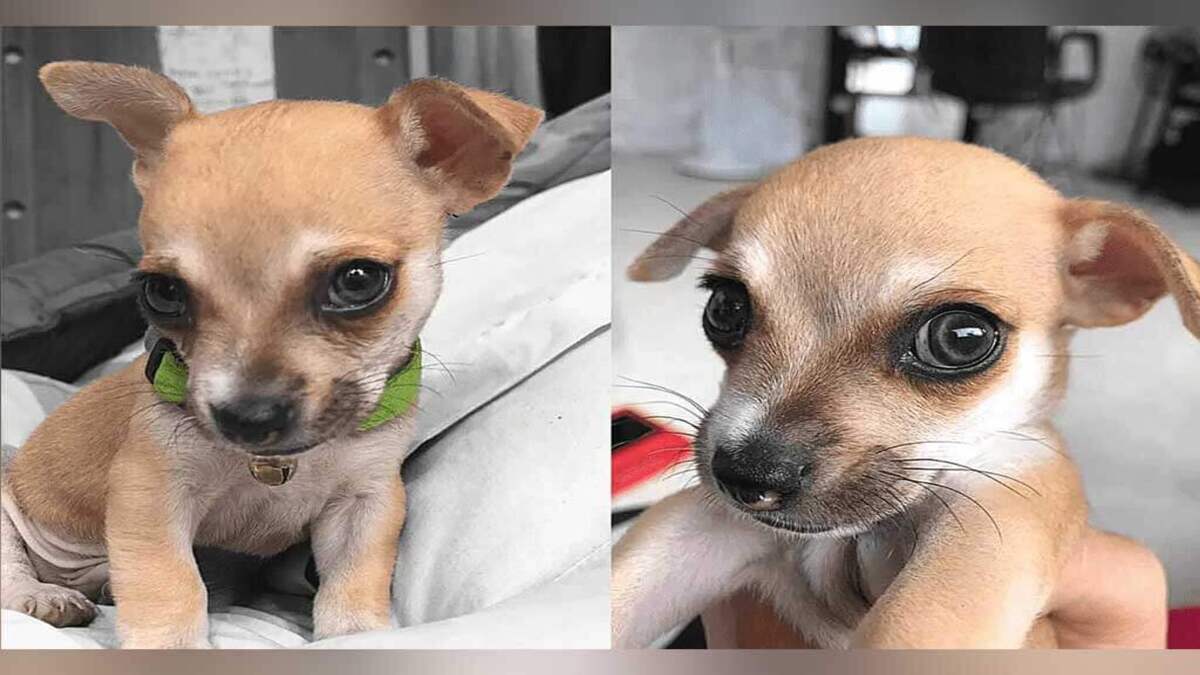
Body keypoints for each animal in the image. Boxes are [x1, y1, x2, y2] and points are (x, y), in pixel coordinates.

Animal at [0, 63, 542, 648]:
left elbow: (353, 581)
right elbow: (170, 583)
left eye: (358, 280)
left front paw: (354, 634)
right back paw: (46, 596)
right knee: (13, 571)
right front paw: (172, 645)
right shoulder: (150, 495)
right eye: (161, 293)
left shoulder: (366, 503)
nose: (247, 418)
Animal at [614, 136, 1195, 648]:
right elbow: (625, 586)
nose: (747, 477)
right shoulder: (704, 526)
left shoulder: (1002, 503)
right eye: (725, 307)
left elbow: (916, 624)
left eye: (961, 337)